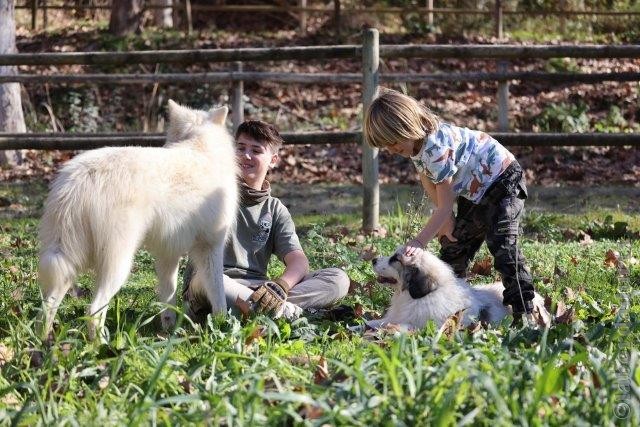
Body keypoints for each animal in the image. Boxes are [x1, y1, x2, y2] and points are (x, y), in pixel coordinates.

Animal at [37, 100, 238, 342]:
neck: (199, 146)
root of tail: (78, 179)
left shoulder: (168, 254)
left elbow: (168, 297)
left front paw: (169, 331)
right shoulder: (210, 248)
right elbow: (219, 295)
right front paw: (223, 327)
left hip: (67, 262)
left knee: (47, 307)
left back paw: (44, 341)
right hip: (119, 265)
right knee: (93, 310)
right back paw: (103, 346)